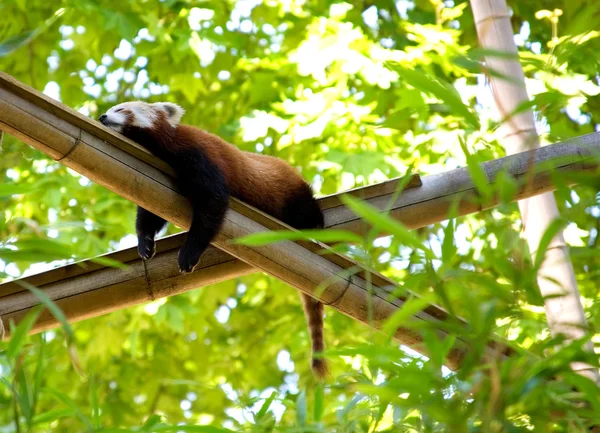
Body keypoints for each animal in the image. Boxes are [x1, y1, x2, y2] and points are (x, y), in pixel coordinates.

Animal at [99, 100, 328, 374]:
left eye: (121, 109)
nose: (102, 116)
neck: (164, 146)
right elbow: (150, 214)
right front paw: (145, 242)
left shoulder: (200, 156)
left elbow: (213, 203)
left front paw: (189, 253)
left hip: (292, 194)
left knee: (308, 209)